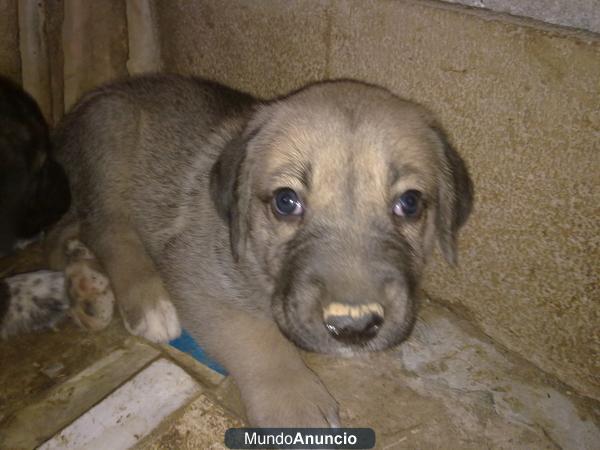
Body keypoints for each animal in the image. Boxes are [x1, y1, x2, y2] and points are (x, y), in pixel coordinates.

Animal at [28, 75, 472, 428]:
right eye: (286, 202)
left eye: (409, 204)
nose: (354, 327)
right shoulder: (193, 275)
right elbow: (254, 337)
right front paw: (294, 402)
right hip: (110, 134)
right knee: (105, 227)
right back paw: (145, 302)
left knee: (60, 236)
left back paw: (86, 286)